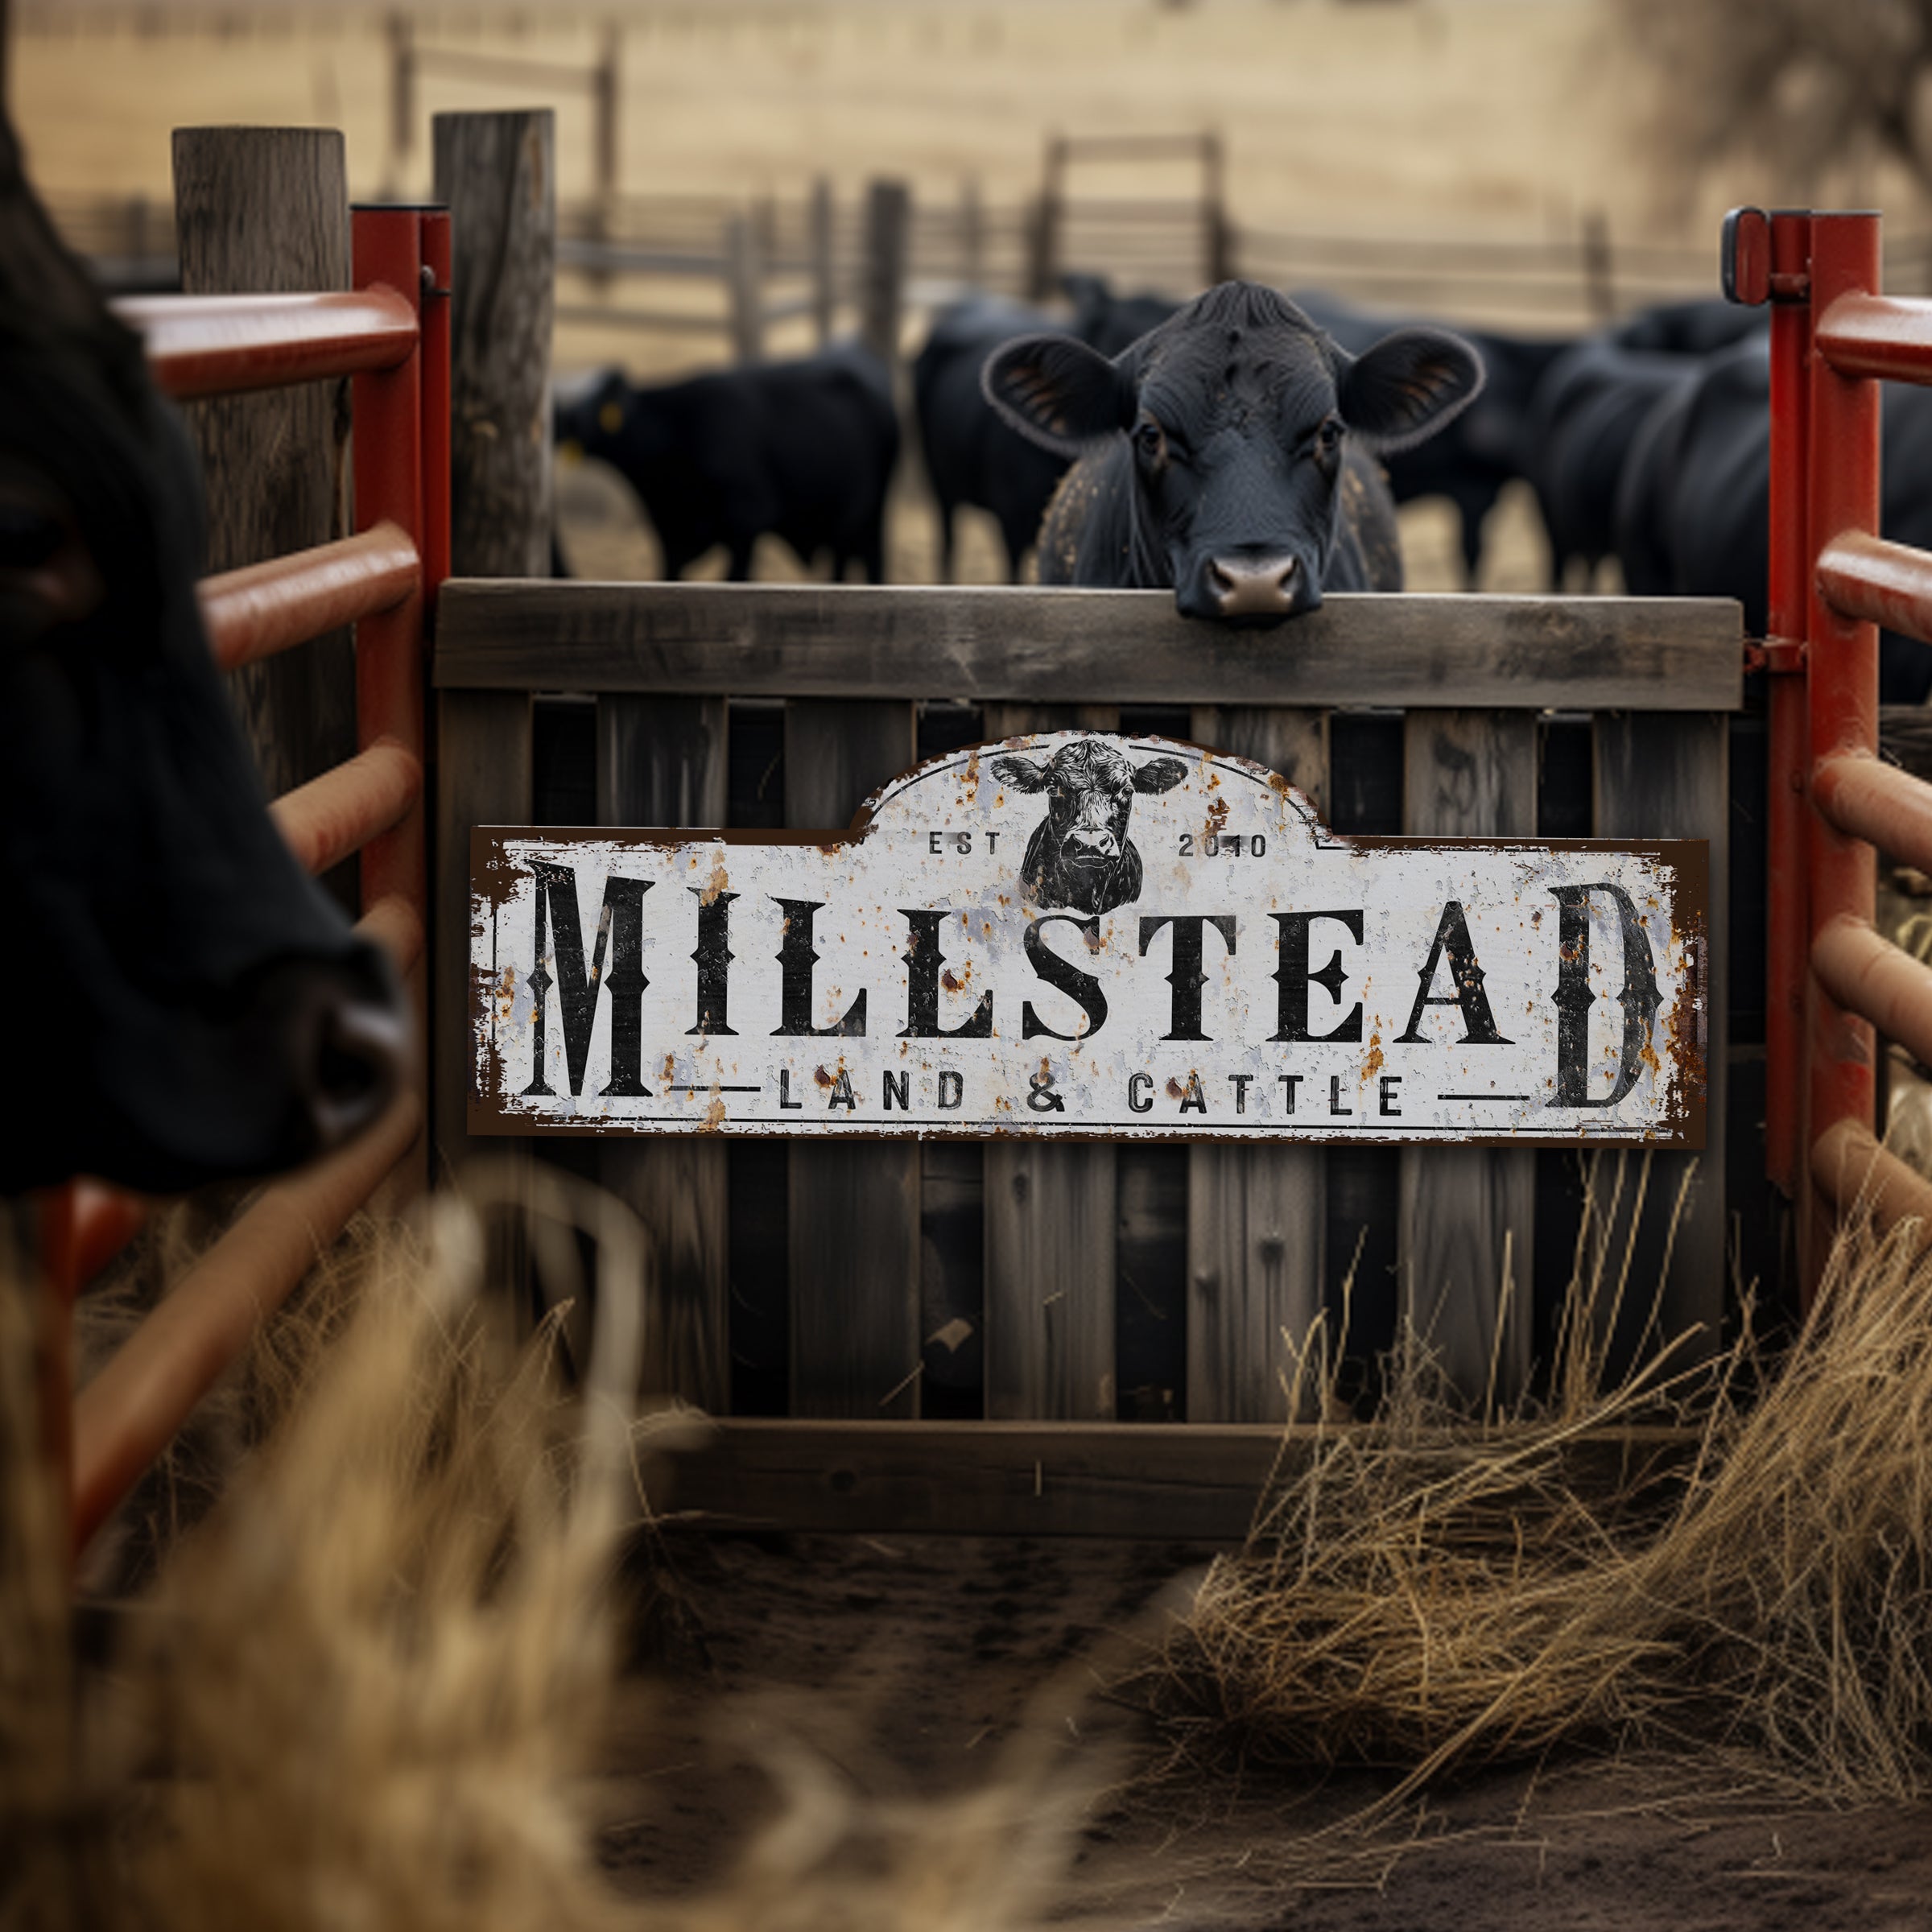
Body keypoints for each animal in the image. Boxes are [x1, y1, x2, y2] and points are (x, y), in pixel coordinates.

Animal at [552, 344, 896, 580]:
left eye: (593, 408)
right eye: (576, 411)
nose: (566, 424)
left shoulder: (749, 519)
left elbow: (735, 580)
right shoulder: (671, 536)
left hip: (868, 517)